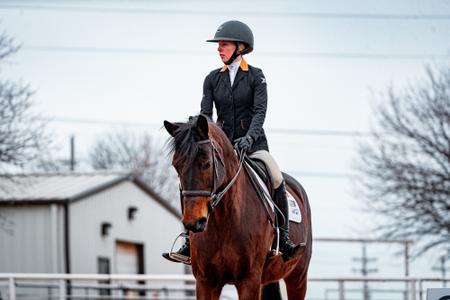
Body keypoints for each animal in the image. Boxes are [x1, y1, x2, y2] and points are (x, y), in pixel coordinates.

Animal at [163, 114, 312, 298]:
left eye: (207, 163)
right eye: (176, 166)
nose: (194, 223)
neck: (224, 220)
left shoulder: (249, 281)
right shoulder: (205, 282)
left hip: (298, 278)